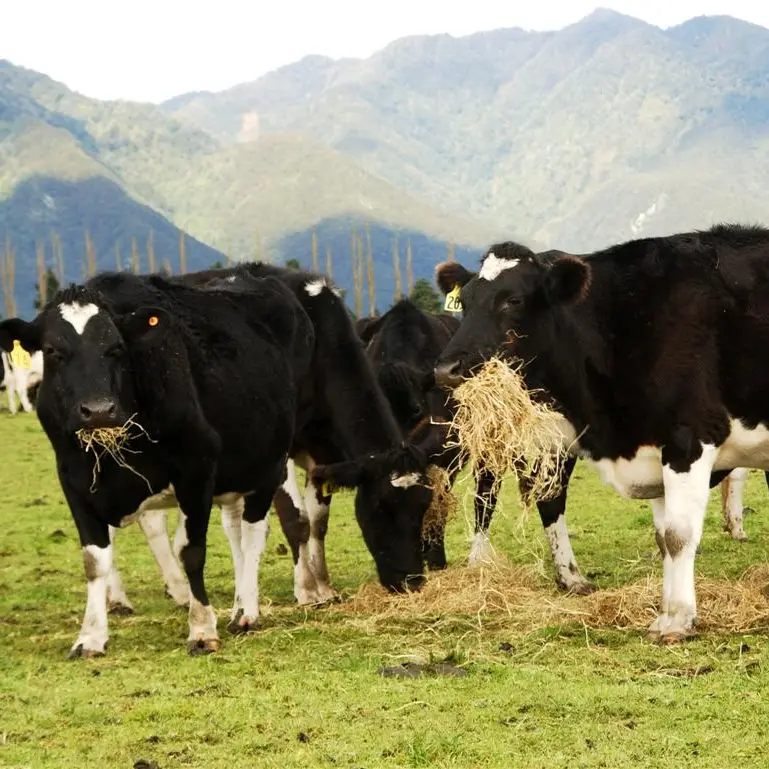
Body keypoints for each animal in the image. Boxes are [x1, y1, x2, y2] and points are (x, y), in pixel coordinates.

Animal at [0, 270, 315, 657]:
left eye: (116, 348)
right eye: (53, 351)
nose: (98, 410)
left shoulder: (196, 470)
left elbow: (191, 551)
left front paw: (201, 628)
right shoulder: (73, 480)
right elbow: (94, 560)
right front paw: (90, 637)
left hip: (268, 464)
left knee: (254, 533)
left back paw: (247, 613)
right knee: (238, 532)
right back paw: (240, 604)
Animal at [431, 224, 769, 642]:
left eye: (513, 300)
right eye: (465, 301)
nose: (446, 369)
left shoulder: (690, 435)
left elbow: (677, 535)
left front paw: (678, 620)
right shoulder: (652, 446)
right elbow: (662, 537)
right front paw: (666, 615)